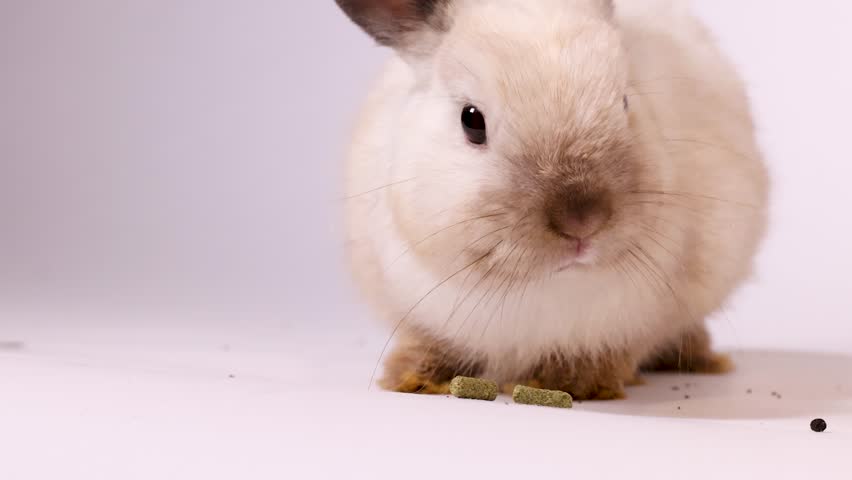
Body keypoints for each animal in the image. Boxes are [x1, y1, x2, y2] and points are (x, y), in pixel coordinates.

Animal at [337, 0, 769, 400]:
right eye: (471, 120)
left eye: (625, 102)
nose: (582, 220)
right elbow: (431, 343)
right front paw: (414, 378)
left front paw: (572, 383)